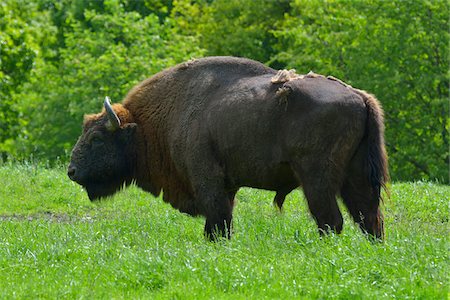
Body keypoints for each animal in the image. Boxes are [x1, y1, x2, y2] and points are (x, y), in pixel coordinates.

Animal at [66, 55, 386, 239]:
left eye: (96, 138)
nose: (71, 171)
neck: (147, 123)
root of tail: (359, 97)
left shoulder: (207, 180)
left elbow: (218, 220)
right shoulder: (227, 186)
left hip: (316, 178)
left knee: (331, 220)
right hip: (355, 176)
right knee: (368, 217)